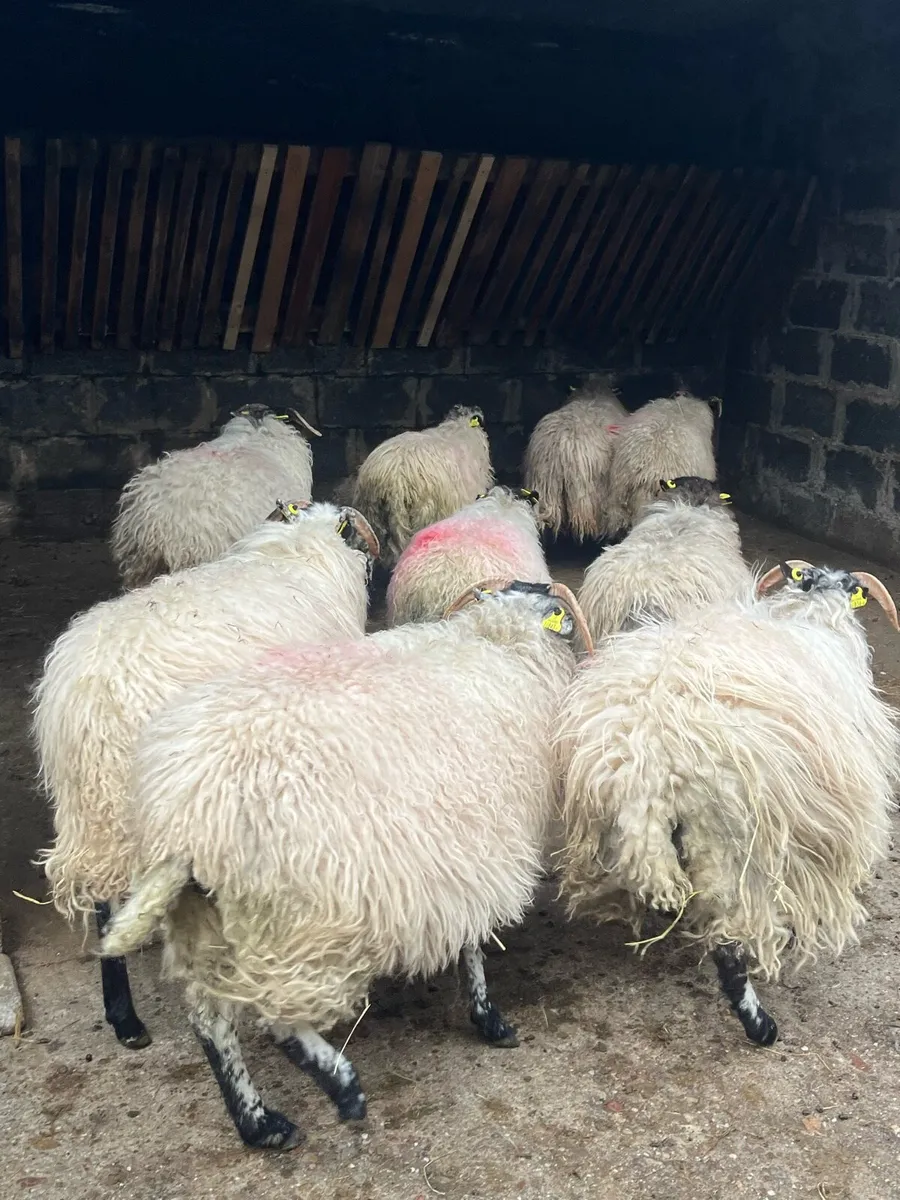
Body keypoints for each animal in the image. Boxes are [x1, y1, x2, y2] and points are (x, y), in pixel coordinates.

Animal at [34, 499, 378, 1051]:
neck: (298, 551)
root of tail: (94, 708)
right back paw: (130, 1015)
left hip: (91, 815)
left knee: (105, 901)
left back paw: (123, 1013)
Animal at [98, 579, 593, 1149]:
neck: (498, 641)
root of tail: (188, 814)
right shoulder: (475, 847)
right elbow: (472, 945)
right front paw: (489, 1018)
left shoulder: (454, 853)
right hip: (301, 917)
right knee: (274, 1015)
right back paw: (341, 1085)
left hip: (204, 916)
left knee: (210, 1018)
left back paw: (259, 1124)